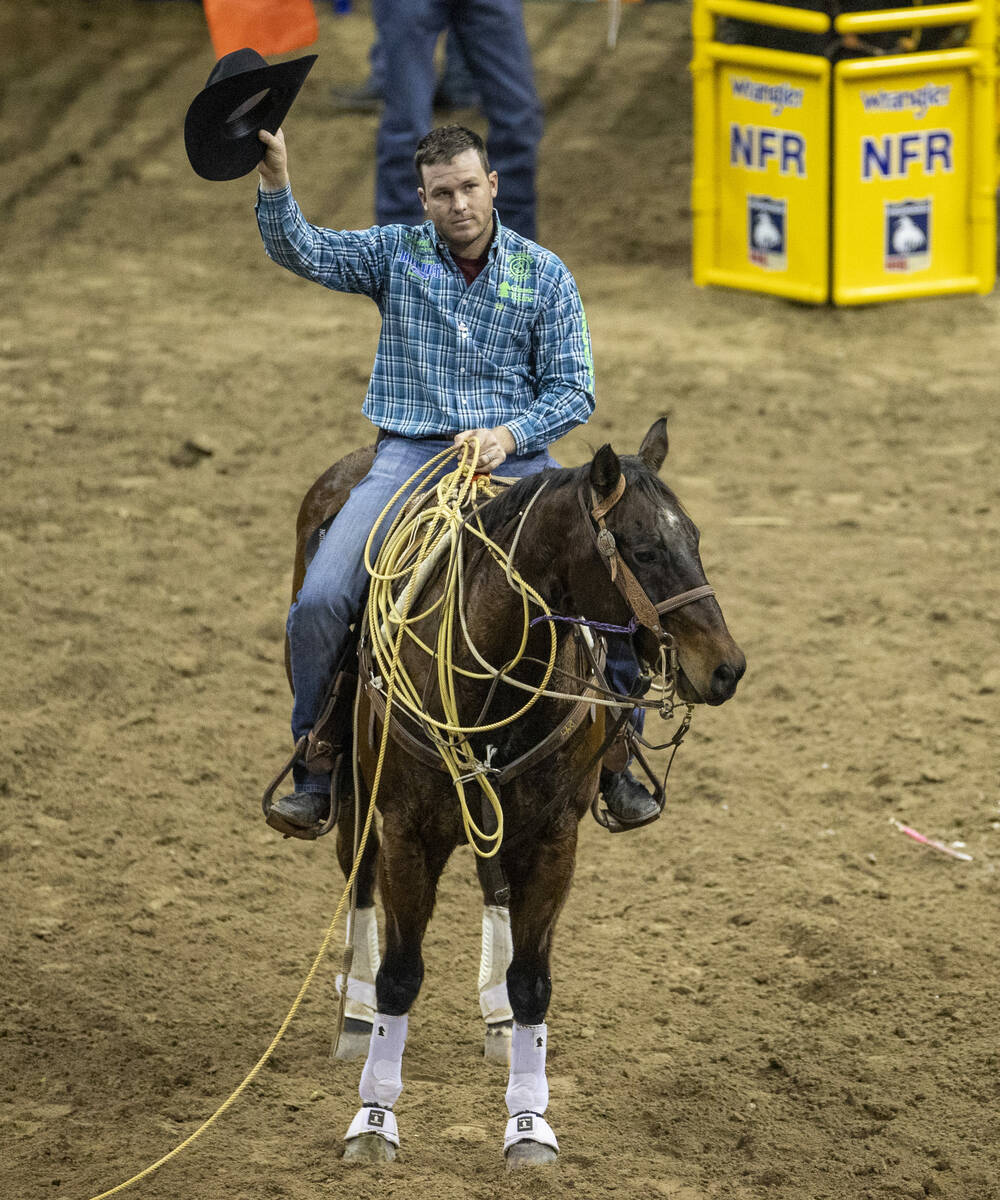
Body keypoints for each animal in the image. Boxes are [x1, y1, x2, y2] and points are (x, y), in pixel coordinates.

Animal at [280, 417, 739, 1166]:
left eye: (695, 538)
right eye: (643, 548)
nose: (728, 668)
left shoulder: (553, 836)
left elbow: (533, 981)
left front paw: (528, 1124)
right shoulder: (406, 828)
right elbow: (401, 975)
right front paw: (373, 1119)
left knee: (491, 883)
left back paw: (493, 1014)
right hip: (354, 782)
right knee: (358, 873)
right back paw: (353, 1010)